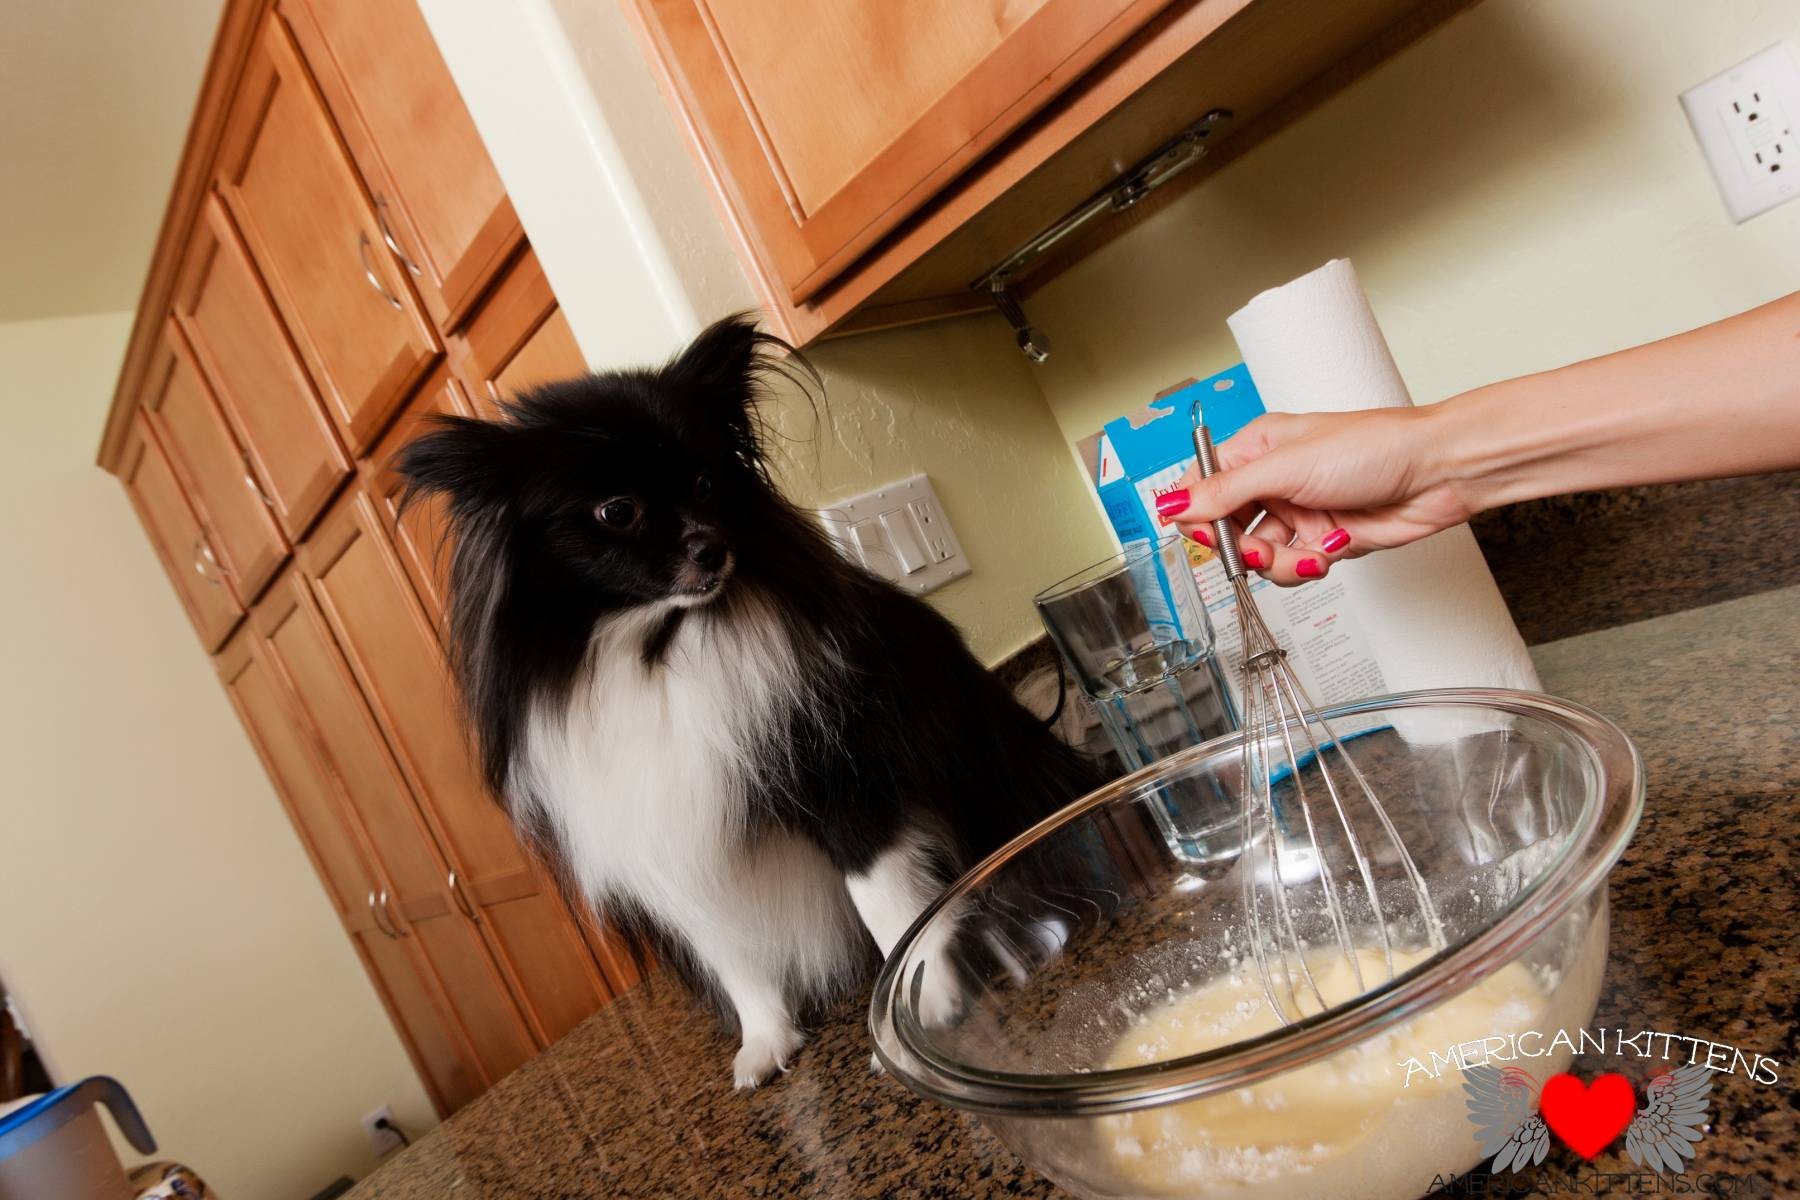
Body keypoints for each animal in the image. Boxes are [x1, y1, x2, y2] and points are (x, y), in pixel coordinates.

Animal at [397, 316, 1094, 1086]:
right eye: (617, 511)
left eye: (708, 481)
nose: (711, 548)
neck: (657, 648)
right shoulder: (671, 847)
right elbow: (732, 955)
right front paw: (765, 1040)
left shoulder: (849, 787)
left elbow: (887, 905)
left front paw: (922, 1003)